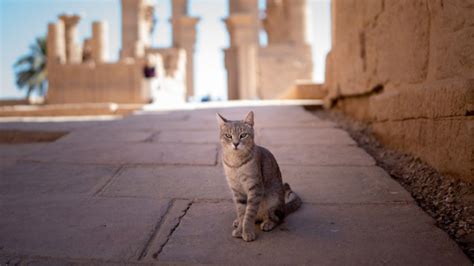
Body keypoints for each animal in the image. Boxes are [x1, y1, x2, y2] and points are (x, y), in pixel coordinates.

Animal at [217, 110, 302, 241]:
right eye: (228, 136)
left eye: (243, 135)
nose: (235, 143)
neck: (235, 162)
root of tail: (284, 205)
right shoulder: (237, 190)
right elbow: (242, 212)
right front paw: (240, 228)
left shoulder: (255, 187)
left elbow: (249, 214)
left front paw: (247, 231)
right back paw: (238, 222)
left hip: (274, 201)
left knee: (278, 218)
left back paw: (268, 223)